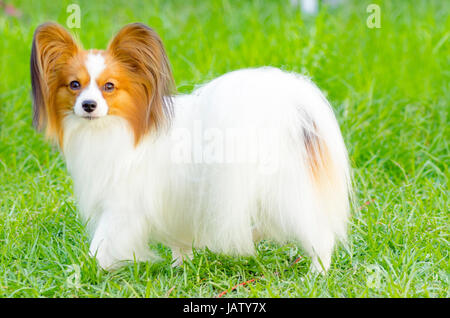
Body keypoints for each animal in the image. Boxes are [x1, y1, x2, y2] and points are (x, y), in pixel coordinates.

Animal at [31, 22, 354, 272]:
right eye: (74, 85)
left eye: (109, 87)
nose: (88, 105)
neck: (118, 129)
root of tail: (296, 111)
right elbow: (178, 243)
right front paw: (180, 267)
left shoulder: (123, 205)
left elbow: (102, 241)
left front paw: (85, 269)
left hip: (285, 193)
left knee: (319, 233)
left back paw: (316, 273)